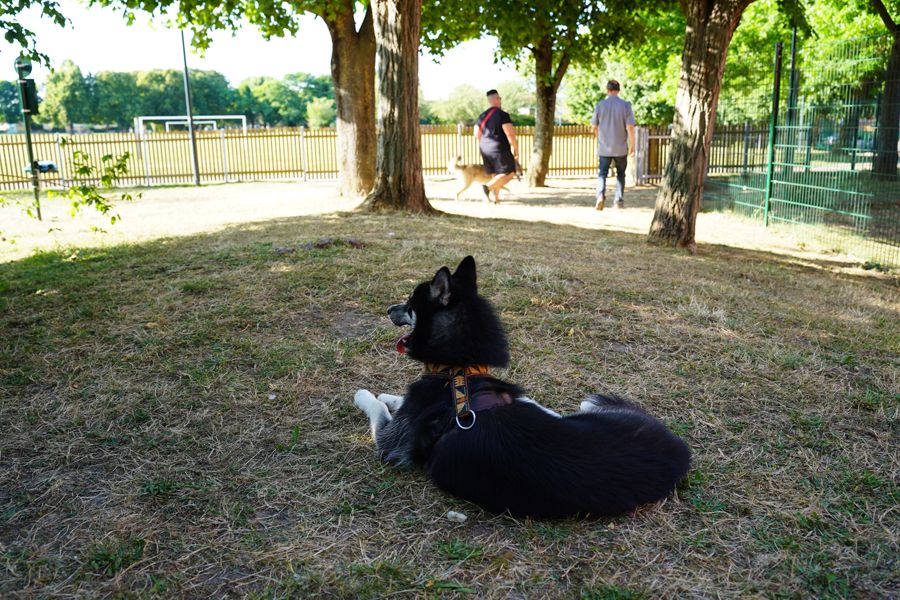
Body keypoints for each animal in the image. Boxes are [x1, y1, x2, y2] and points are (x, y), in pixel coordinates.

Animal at [352, 255, 688, 516]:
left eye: (410, 303)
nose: (388, 309)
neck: (460, 374)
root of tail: (680, 448)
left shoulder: (391, 445)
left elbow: (375, 406)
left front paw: (367, 394)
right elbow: (393, 401)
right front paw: (390, 395)